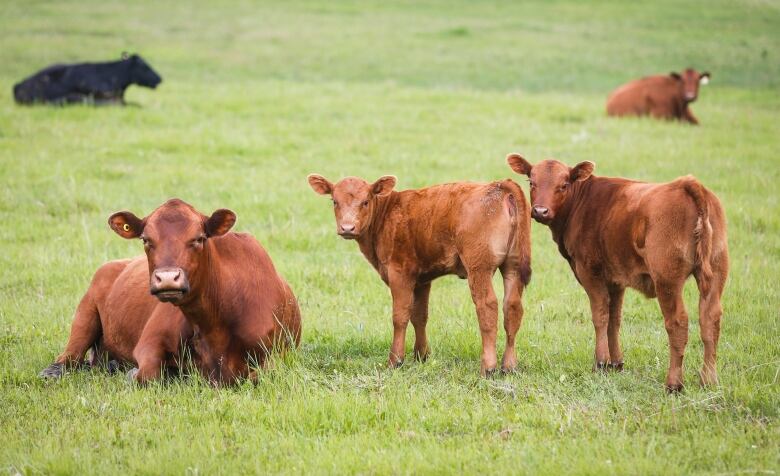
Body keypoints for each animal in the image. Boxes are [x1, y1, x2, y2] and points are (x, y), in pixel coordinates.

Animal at [38, 199, 302, 384]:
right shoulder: (149, 342)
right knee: (69, 358)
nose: (167, 279)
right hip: (84, 314)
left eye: (199, 238)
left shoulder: (277, 357)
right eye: (146, 239)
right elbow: (146, 374)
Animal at [308, 173, 532, 374]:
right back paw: (509, 366)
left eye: (365, 201)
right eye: (334, 201)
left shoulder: (400, 272)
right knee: (512, 308)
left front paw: (395, 360)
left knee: (487, 307)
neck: (387, 214)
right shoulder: (422, 279)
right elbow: (419, 315)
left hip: (479, 267)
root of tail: (499, 185)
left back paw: (489, 366)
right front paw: (421, 355)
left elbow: (400, 316)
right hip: (513, 266)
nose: (347, 227)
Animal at [508, 154, 728, 392]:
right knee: (710, 319)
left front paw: (601, 363)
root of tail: (686, 185)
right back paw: (709, 380)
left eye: (563, 185)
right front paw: (616, 363)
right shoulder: (616, 278)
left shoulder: (589, 271)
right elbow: (614, 319)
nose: (540, 211)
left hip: (667, 279)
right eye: (531, 182)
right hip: (716, 271)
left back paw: (674, 384)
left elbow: (600, 316)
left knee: (677, 323)